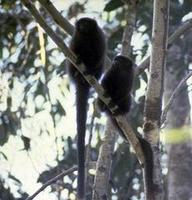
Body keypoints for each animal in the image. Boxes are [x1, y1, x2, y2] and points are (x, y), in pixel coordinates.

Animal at [97, 55, 154, 198]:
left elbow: (125, 91)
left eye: (121, 60)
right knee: (100, 101)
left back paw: (120, 109)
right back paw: (104, 105)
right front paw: (108, 94)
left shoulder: (130, 76)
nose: (115, 61)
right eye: (116, 60)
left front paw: (117, 99)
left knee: (127, 98)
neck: (121, 71)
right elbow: (105, 84)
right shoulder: (111, 72)